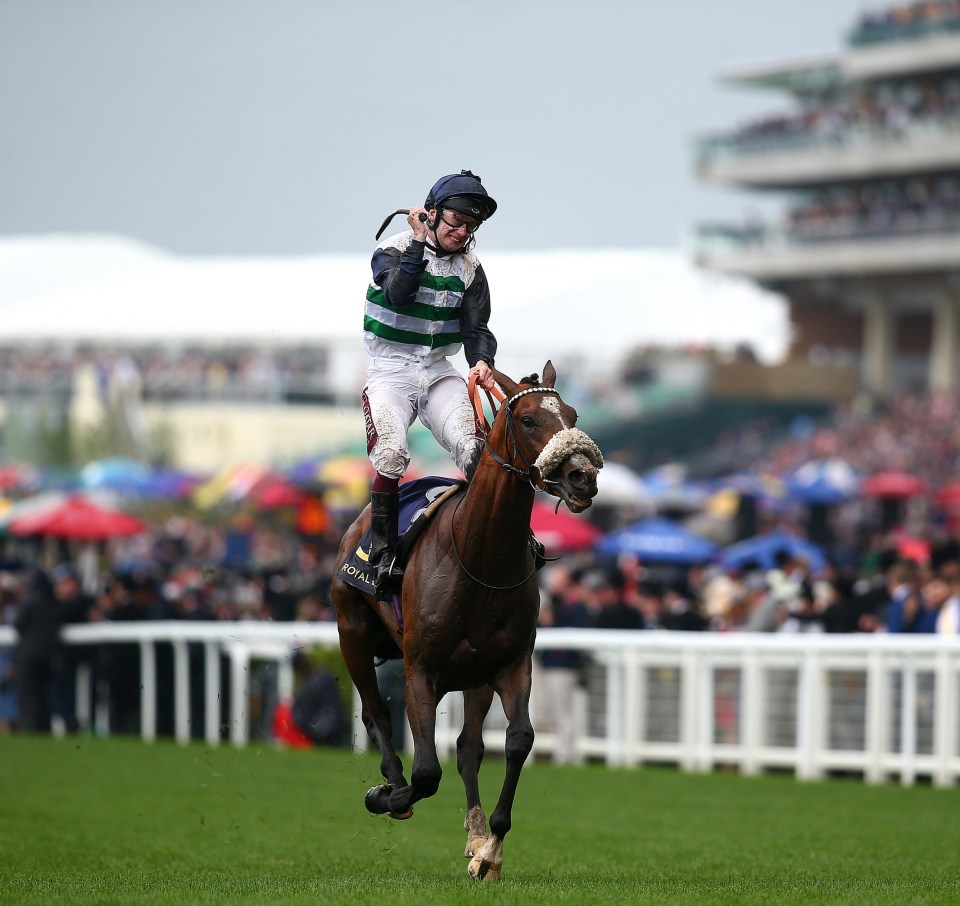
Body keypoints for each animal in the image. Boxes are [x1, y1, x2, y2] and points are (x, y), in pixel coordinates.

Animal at [330, 360, 600, 876]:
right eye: (529, 420)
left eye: (573, 415)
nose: (582, 477)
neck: (480, 558)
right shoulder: (420, 670)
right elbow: (425, 772)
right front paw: (386, 796)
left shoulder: (511, 664)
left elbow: (517, 741)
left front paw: (490, 847)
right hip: (351, 630)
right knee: (376, 713)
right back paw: (391, 784)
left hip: (474, 675)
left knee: (468, 747)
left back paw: (475, 836)